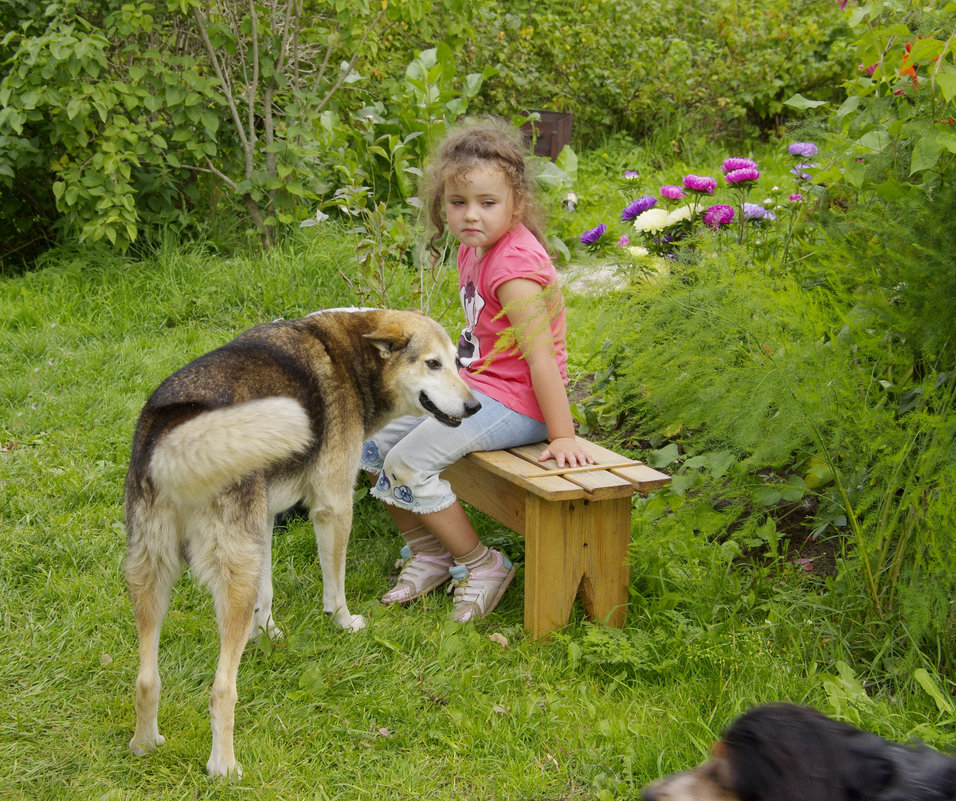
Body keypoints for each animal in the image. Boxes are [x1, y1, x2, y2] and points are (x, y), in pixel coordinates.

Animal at [125, 306, 478, 776]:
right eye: (432, 364)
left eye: (457, 362)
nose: (475, 406)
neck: (350, 354)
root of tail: (177, 434)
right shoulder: (333, 507)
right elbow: (336, 585)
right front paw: (343, 622)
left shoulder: (264, 525)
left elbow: (267, 594)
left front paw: (267, 632)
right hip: (229, 581)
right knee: (221, 690)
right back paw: (224, 766)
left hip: (154, 574)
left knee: (147, 678)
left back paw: (145, 744)